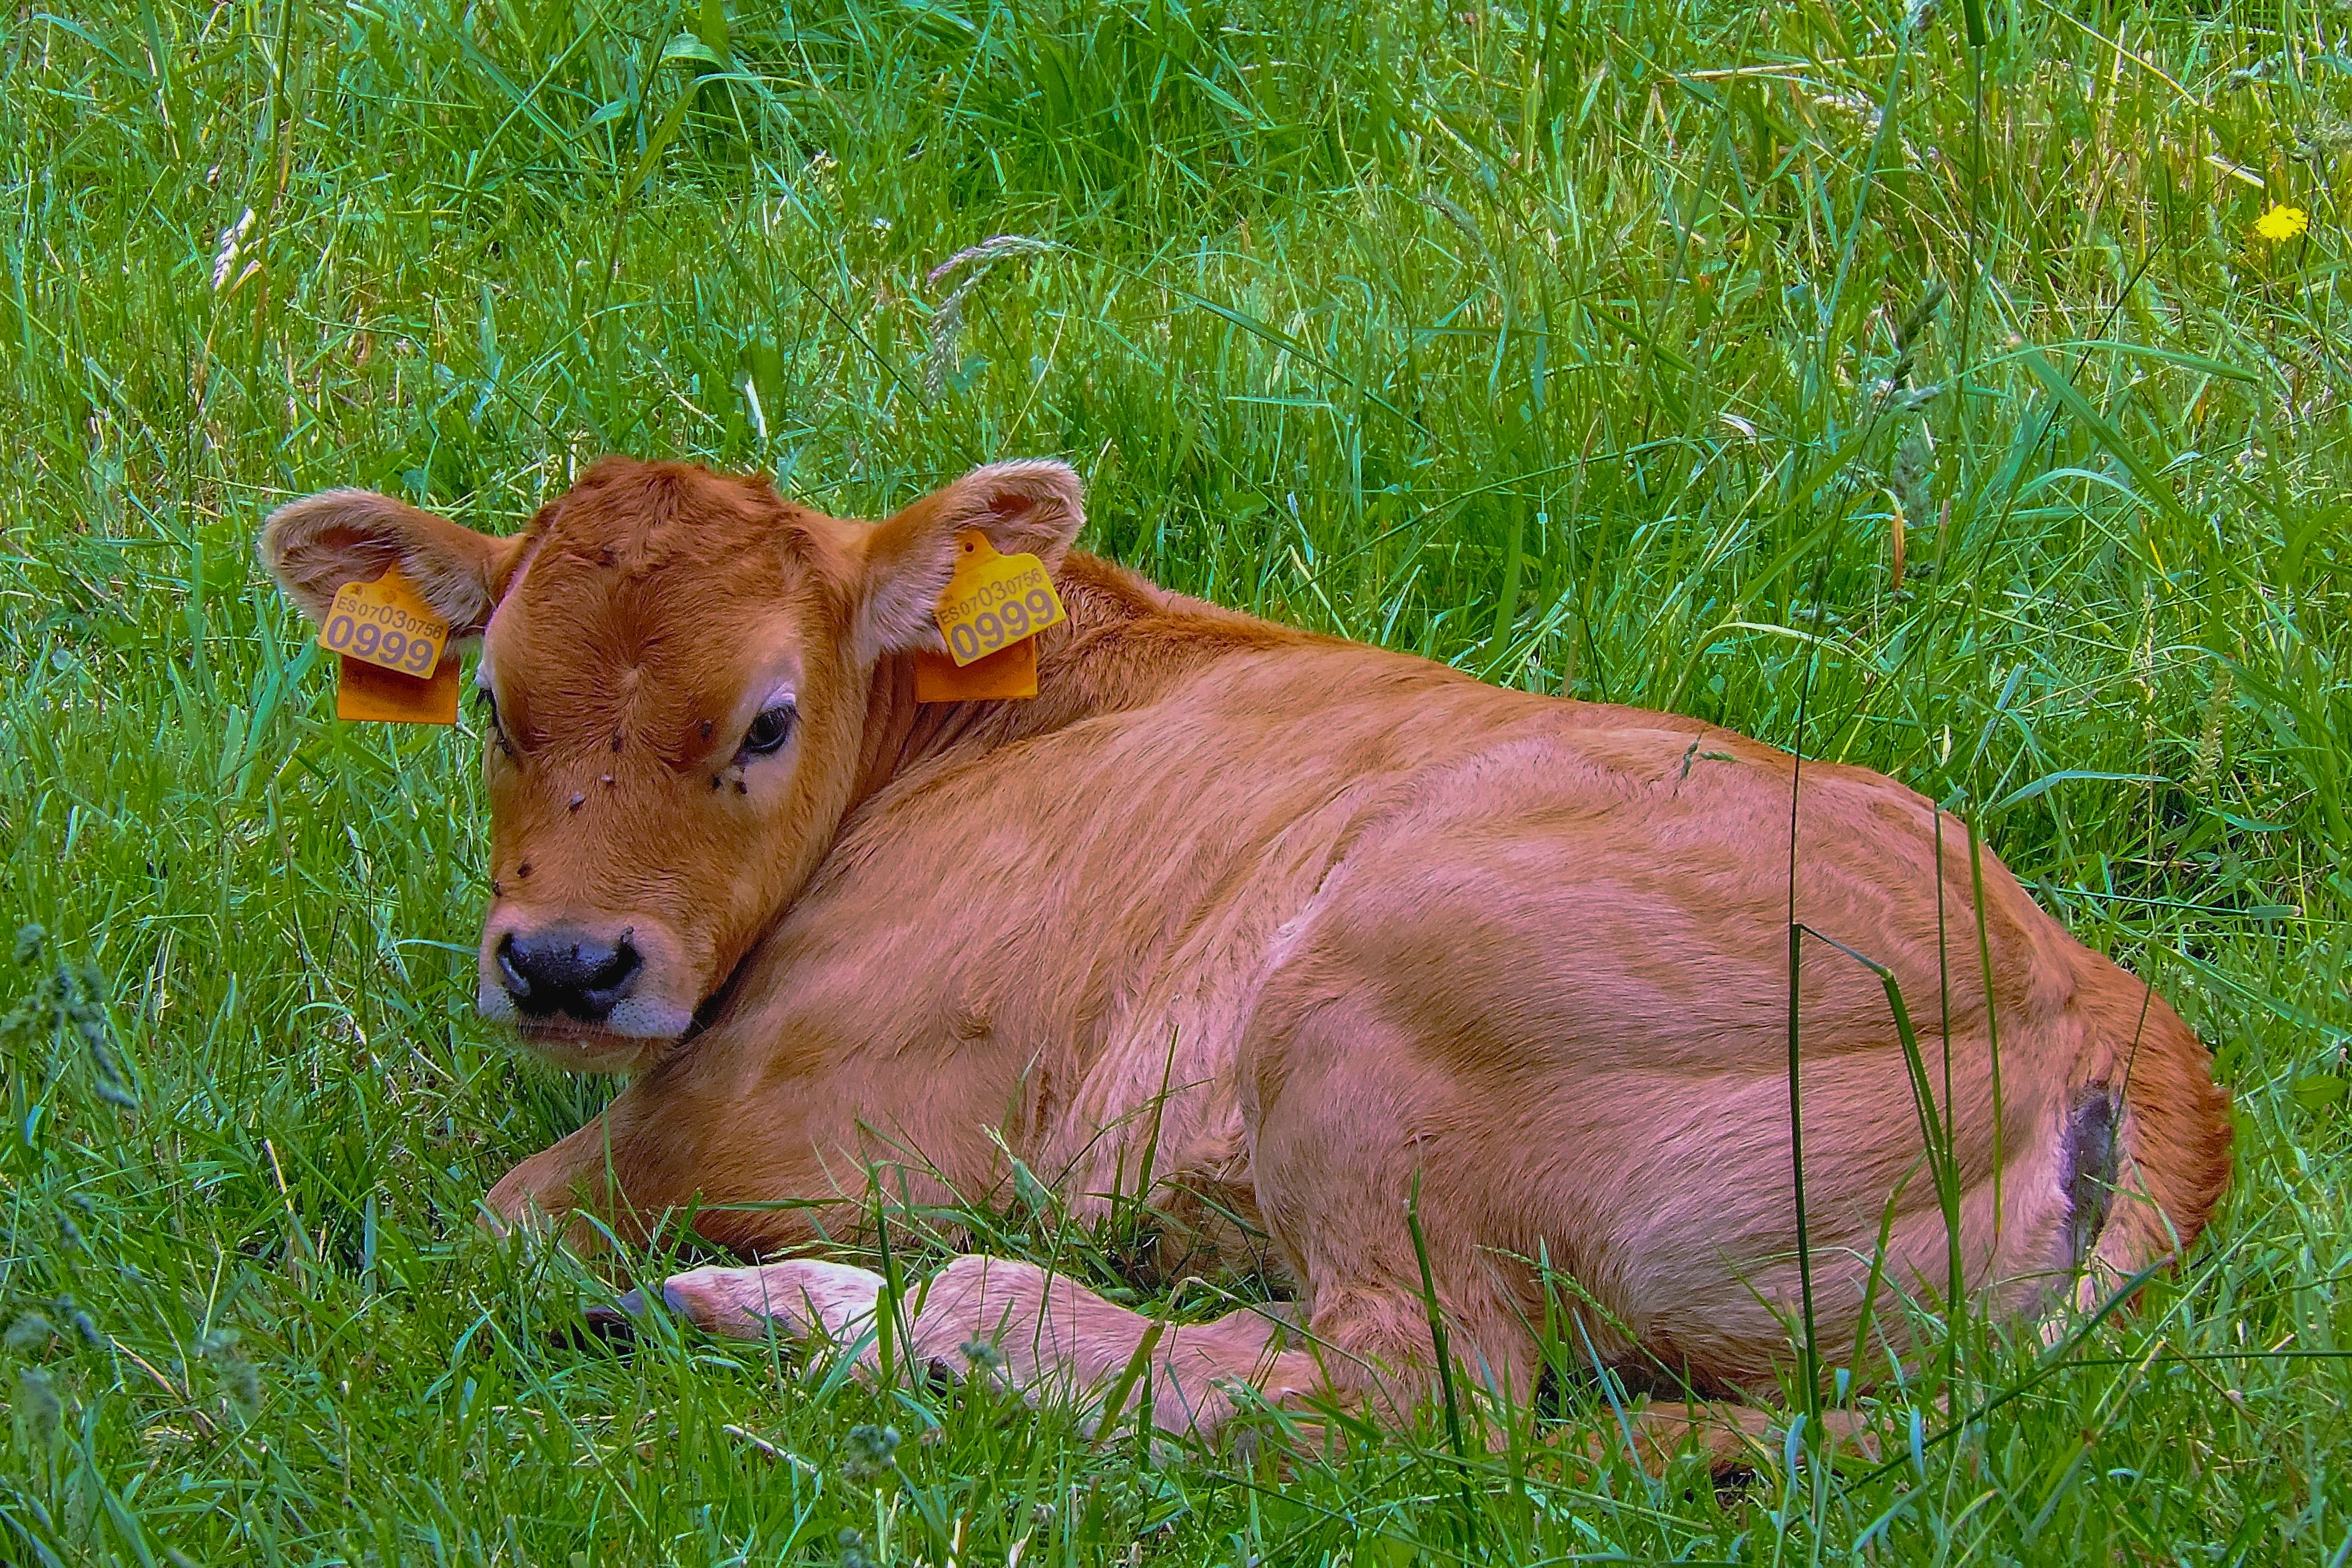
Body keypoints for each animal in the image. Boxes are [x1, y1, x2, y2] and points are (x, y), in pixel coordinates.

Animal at [259, 456, 2232, 1467]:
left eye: (764, 719)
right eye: (493, 706)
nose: (565, 965)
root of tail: (2104, 1013)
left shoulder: (785, 1122)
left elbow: (505, 1216)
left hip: (1370, 1020)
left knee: (1403, 1390)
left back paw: (843, 1320)